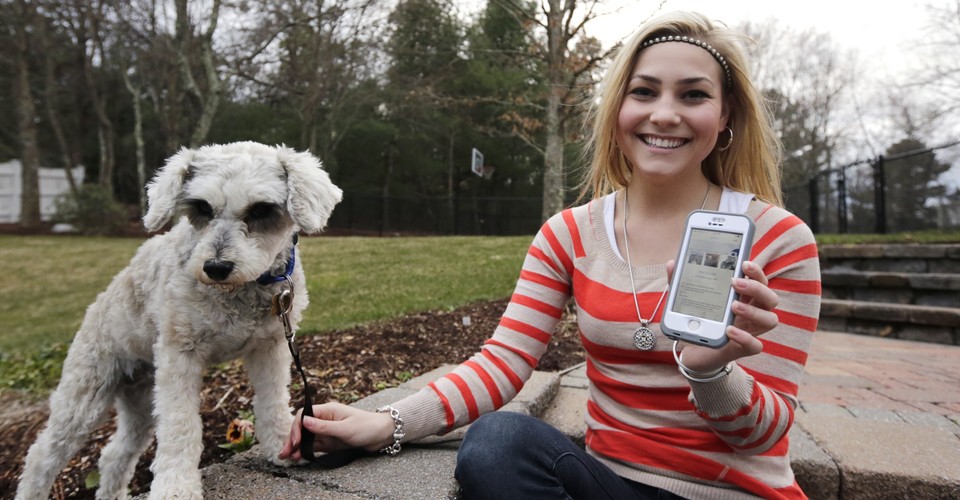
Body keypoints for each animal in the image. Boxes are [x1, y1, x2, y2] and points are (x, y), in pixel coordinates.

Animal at [16, 142, 344, 500]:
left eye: (260, 210)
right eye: (201, 207)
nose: (215, 267)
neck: (240, 289)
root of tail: (97, 304)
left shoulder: (270, 349)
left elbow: (273, 402)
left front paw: (283, 447)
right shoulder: (179, 356)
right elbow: (180, 425)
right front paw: (176, 487)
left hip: (141, 403)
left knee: (114, 455)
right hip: (85, 396)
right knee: (41, 456)